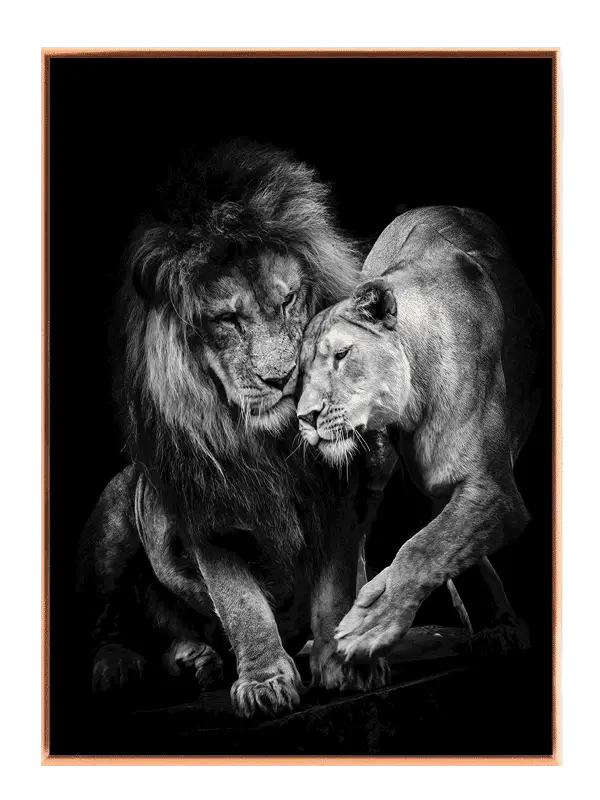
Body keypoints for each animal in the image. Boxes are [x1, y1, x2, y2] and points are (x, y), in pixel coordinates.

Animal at [75, 138, 390, 720]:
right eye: (227, 319)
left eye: (288, 300)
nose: (282, 377)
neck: (272, 442)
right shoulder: (209, 508)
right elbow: (240, 602)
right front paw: (265, 681)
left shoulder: (341, 492)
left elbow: (335, 587)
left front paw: (343, 660)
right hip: (111, 522)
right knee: (112, 620)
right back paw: (124, 667)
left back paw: (197, 659)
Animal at [296, 205, 544, 662]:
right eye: (302, 372)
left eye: (341, 354)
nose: (305, 417)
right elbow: (433, 542)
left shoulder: (493, 486)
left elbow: (425, 547)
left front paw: (371, 621)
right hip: (375, 465)